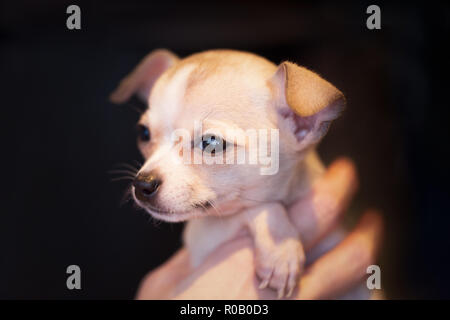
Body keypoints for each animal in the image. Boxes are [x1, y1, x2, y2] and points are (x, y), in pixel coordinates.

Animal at [110, 48, 344, 298]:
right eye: (143, 133)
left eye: (211, 143)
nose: (142, 184)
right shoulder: (208, 236)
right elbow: (256, 209)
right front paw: (281, 251)